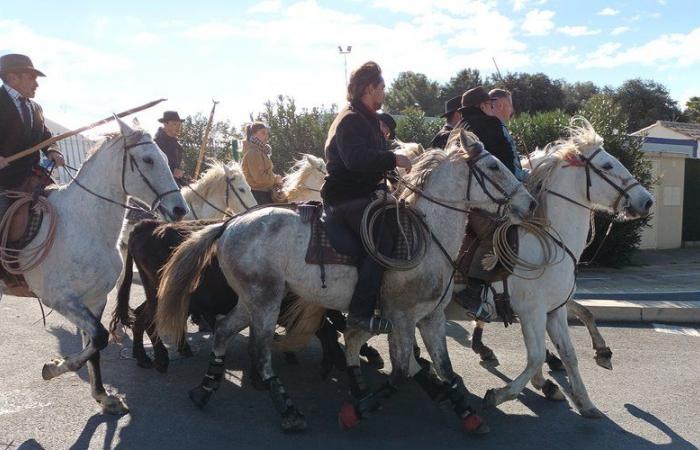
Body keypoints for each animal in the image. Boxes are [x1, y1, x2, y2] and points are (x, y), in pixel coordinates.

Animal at [0, 117, 187, 414]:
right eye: (147, 159)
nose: (180, 209)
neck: (84, 224)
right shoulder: (62, 299)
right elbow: (99, 337)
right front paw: (54, 367)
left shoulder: (96, 300)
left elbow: (96, 345)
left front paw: (103, 396)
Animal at [156, 130, 532, 432]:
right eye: (494, 167)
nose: (528, 202)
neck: (426, 236)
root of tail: (229, 224)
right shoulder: (401, 317)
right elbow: (400, 371)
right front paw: (358, 411)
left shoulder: (431, 317)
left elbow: (446, 368)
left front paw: (469, 414)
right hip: (265, 301)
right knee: (260, 354)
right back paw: (288, 411)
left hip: (252, 300)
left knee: (223, 331)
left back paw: (204, 390)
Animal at [478, 118, 652, 416]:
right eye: (607, 165)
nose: (647, 200)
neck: (550, 244)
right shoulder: (531, 311)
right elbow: (535, 357)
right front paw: (502, 393)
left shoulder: (554, 309)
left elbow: (569, 351)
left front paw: (585, 400)